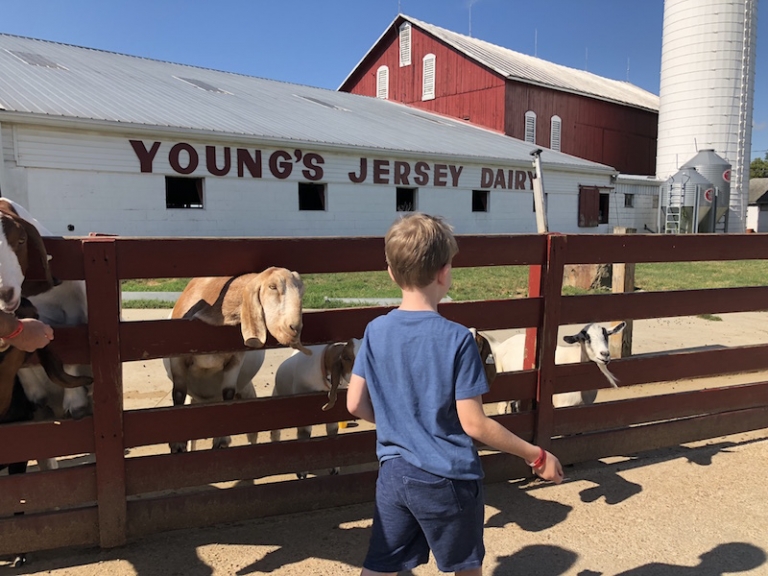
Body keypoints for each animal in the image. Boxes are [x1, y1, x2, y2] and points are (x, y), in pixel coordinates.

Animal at [164, 268, 310, 452]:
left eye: (301, 291)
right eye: (272, 286)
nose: (294, 328)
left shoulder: (235, 360)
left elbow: (228, 392)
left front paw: (221, 440)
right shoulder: (177, 359)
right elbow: (178, 393)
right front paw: (177, 443)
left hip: (245, 391)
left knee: (252, 434)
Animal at [270, 338, 360, 476]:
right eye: (346, 357)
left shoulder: (333, 412)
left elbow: (332, 432)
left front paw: (334, 467)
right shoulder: (302, 407)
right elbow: (304, 434)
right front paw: (302, 471)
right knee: (275, 431)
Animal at [472, 322, 628, 412]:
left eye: (606, 335)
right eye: (585, 337)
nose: (605, 354)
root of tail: (500, 345)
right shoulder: (562, 405)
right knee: (502, 406)